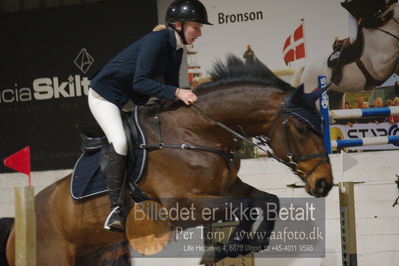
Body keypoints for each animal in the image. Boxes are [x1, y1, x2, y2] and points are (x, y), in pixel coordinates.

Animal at [1, 55, 334, 264]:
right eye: (302, 128)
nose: (324, 184)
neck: (197, 132)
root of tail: (18, 226)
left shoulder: (227, 188)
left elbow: (266, 200)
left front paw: (248, 244)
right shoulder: (183, 206)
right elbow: (246, 206)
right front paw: (227, 248)